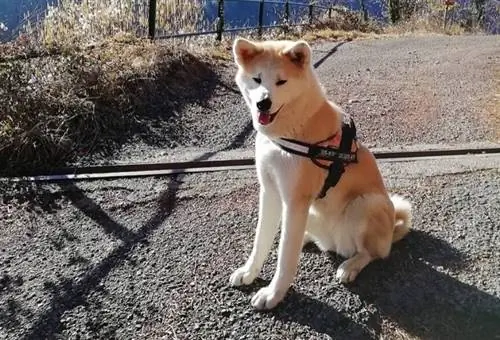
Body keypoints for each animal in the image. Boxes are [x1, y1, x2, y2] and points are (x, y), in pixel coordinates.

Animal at [229, 37, 412, 310]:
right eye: (257, 79)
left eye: (281, 81)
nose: (263, 103)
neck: (290, 132)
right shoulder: (270, 192)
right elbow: (260, 241)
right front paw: (249, 272)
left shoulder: (295, 201)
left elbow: (285, 257)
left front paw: (273, 294)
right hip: (313, 215)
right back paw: (308, 238)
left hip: (366, 204)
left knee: (372, 253)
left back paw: (350, 266)